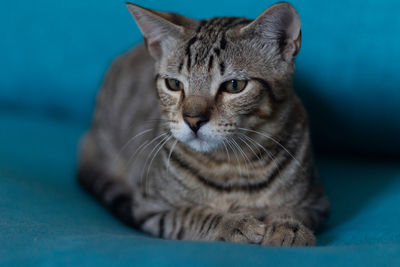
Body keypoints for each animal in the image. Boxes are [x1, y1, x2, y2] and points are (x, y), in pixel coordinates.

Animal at [77, 1, 328, 247]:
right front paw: (233, 223)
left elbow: (292, 210)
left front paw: (287, 227)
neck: (231, 166)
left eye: (234, 85)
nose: (193, 119)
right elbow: (192, 215)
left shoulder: (316, 203)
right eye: (174, 84)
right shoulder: (150, 209)